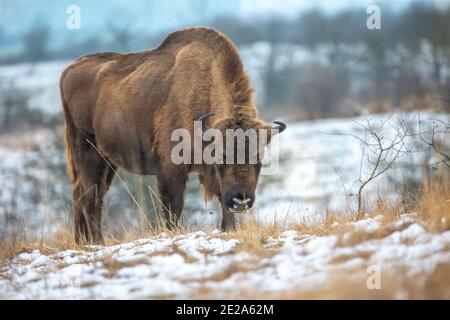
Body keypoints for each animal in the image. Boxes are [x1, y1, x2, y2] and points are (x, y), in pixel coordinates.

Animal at [59, 28, 286, 242]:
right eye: (222, 157)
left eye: (259, 158)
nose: (241, 200)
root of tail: (70, 70)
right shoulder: (171, 168)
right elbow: (173, 207)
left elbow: (222, 203)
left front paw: (228, 229)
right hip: (88, 153)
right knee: (88, 196)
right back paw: (96, 241)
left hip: (107, 161)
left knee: (87, 194)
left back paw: (83, 241)